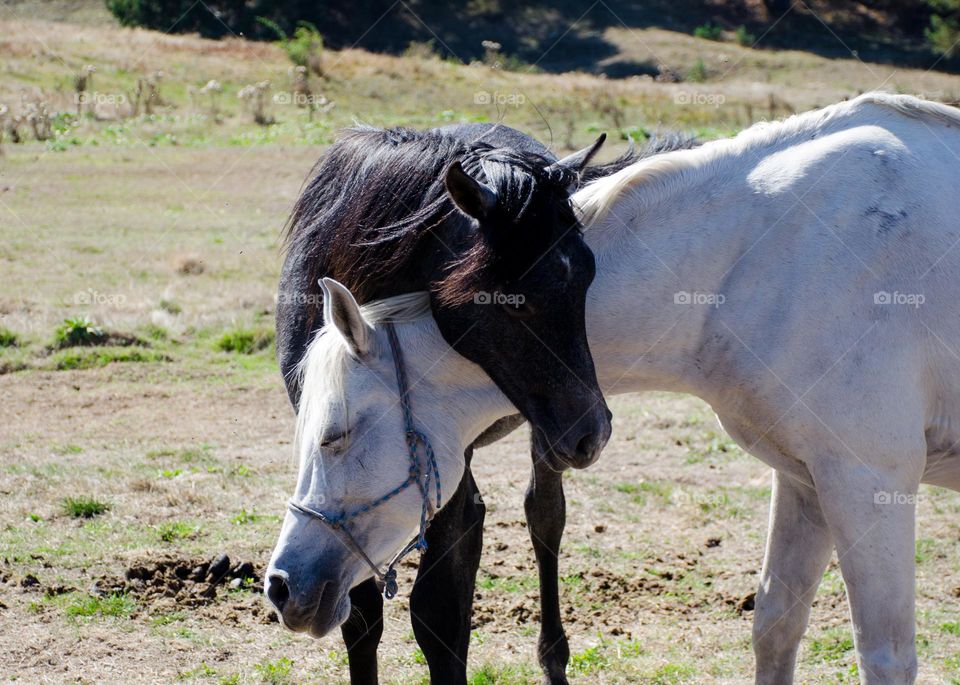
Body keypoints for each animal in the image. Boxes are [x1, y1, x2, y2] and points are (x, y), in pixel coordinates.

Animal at [266, 93, 960, 680]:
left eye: (335, 437)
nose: (280, 585)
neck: (767, 257)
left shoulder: (868, 483)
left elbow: (885, 657)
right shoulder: (806, 482)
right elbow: (775, 628)